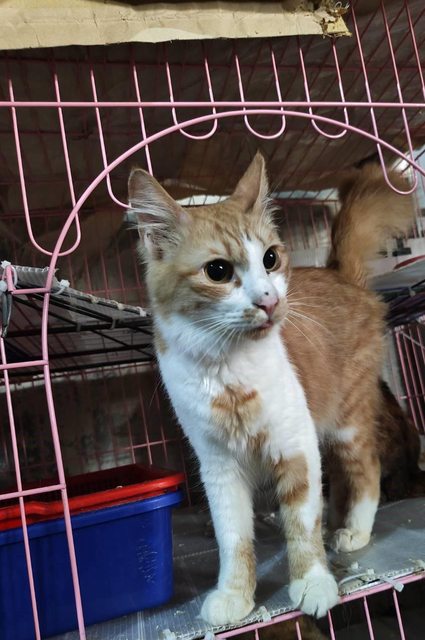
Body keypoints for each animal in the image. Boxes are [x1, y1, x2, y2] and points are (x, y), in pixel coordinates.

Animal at [128, 154, 413, 626]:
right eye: (218, 271)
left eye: (271, 258)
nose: (269, 300)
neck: (228, 368)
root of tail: (340, 274)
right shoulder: (219, 468)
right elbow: (233, 540)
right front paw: (235, 595)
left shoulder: (296, 446)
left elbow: (301, 526)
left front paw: (313, 583)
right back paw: (337, 521)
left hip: (347, 421)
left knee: (367, 470)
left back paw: (354, 530)